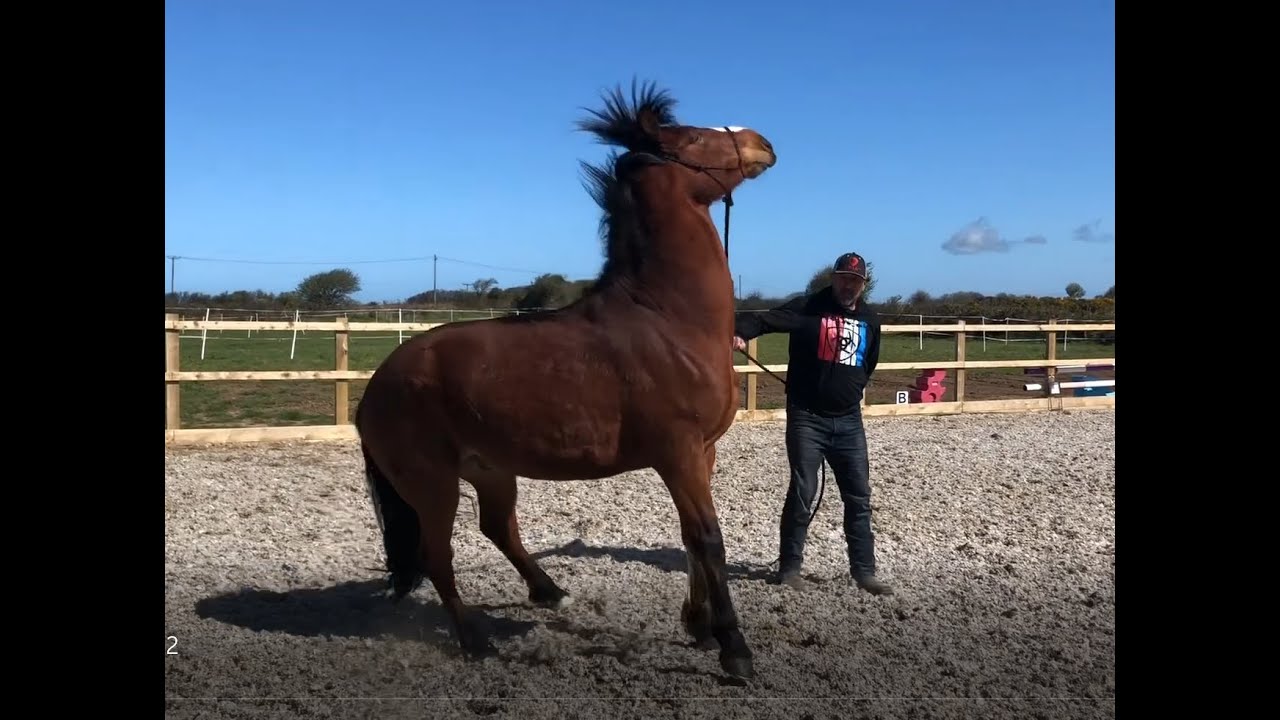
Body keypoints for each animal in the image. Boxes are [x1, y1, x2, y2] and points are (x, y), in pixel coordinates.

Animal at [355, 80, 778, 680]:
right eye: (694, 137)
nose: (762, 142)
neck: (666, 318)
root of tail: (377, 385)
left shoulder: (705, 452)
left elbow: (690, 541)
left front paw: (697, 626)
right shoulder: (679, 453)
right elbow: (707, 538)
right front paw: (733, 648)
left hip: (489, 470)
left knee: (498, 528)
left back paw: (550, 592)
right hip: (430, 483)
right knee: (439, 556)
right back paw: (474, 640)